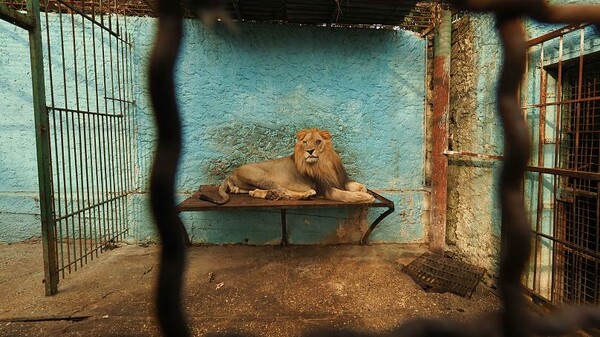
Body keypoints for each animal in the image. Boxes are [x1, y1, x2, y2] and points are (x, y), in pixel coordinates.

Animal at [199, 128, 376, 202]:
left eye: (318, 141)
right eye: (305, 142)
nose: (310, 151)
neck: (323, 162)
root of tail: (230, 173)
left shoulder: (339, 179)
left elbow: (354, 185)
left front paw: (362, 189)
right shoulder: (324, 188)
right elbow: (345, 195)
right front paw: (364, 197)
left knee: (252, 192)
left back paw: (265, 194)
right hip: (259, 176)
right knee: (283, 190)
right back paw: (305, 195)